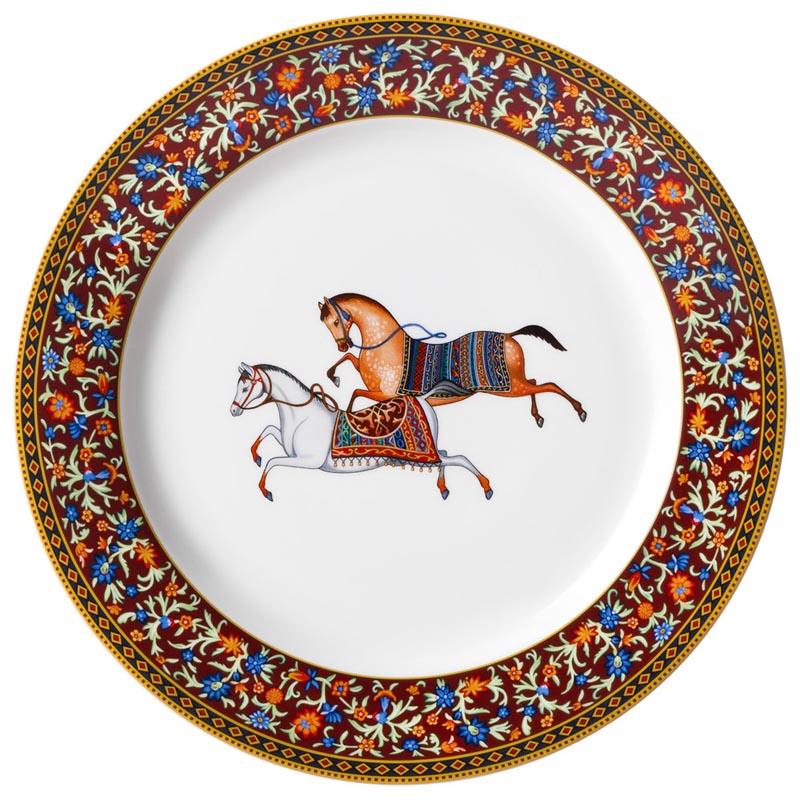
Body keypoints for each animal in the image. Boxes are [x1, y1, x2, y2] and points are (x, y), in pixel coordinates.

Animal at [229, 363, 493, 501]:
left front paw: (265, 491)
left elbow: (272, 462)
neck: (303, 418)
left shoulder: (308, 461)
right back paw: (443, 488)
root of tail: (424, 398)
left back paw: (487, 488)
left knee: (459, 458)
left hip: (428, 453)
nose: (233, 410)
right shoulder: (288, 446)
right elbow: (268, 431)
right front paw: (255, 455)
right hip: (431, 450)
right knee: (446, 456)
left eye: (244, 386)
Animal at [318, 293, 587, 427]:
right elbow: (350, 362)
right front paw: (334, 377)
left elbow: (355, 394)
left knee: (549, 385)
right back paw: (538, 416)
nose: (342, 344)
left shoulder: (386, 394)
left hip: (510, 388)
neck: (387, 345)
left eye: (335, 320)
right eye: (325, 323)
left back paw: (580, 410)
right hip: (515, 383)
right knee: (536, 381)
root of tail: (510, 335)